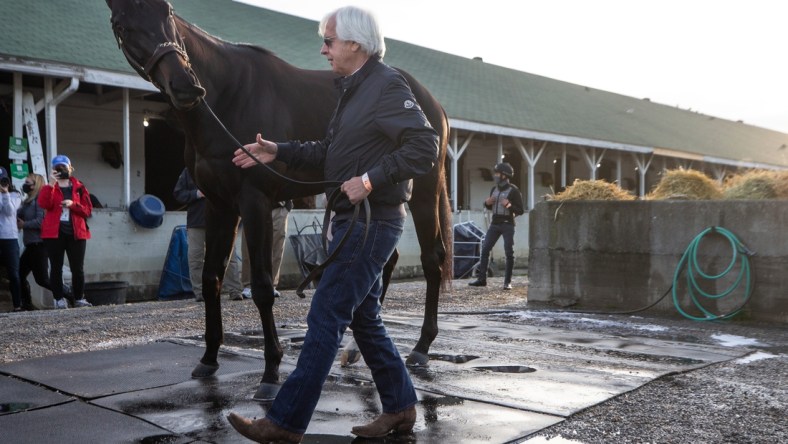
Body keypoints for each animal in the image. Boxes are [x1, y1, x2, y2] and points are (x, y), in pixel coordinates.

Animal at [106, 0, 450, 400]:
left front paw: (271, 371)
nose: (186, 87)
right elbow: (210, 278)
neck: (227, 96)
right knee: (385, 263)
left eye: (169, 13)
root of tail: (430, 100)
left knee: (432, 260)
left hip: (423, 191)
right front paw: (209, 358)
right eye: (122, 26)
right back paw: (353, 349)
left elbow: (263, 287)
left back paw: (421, 348)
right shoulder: (219, 206)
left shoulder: (254, 202)